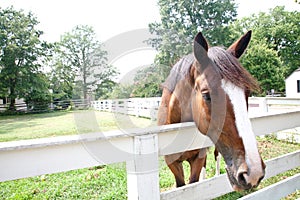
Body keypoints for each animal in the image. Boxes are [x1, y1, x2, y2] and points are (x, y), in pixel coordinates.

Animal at [157, 30, 264, 190]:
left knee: (216, 156)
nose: (254, 172)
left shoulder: (197, 158)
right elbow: (181, 185)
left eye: (247, 92)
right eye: (207, 95)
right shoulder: (172, 162)